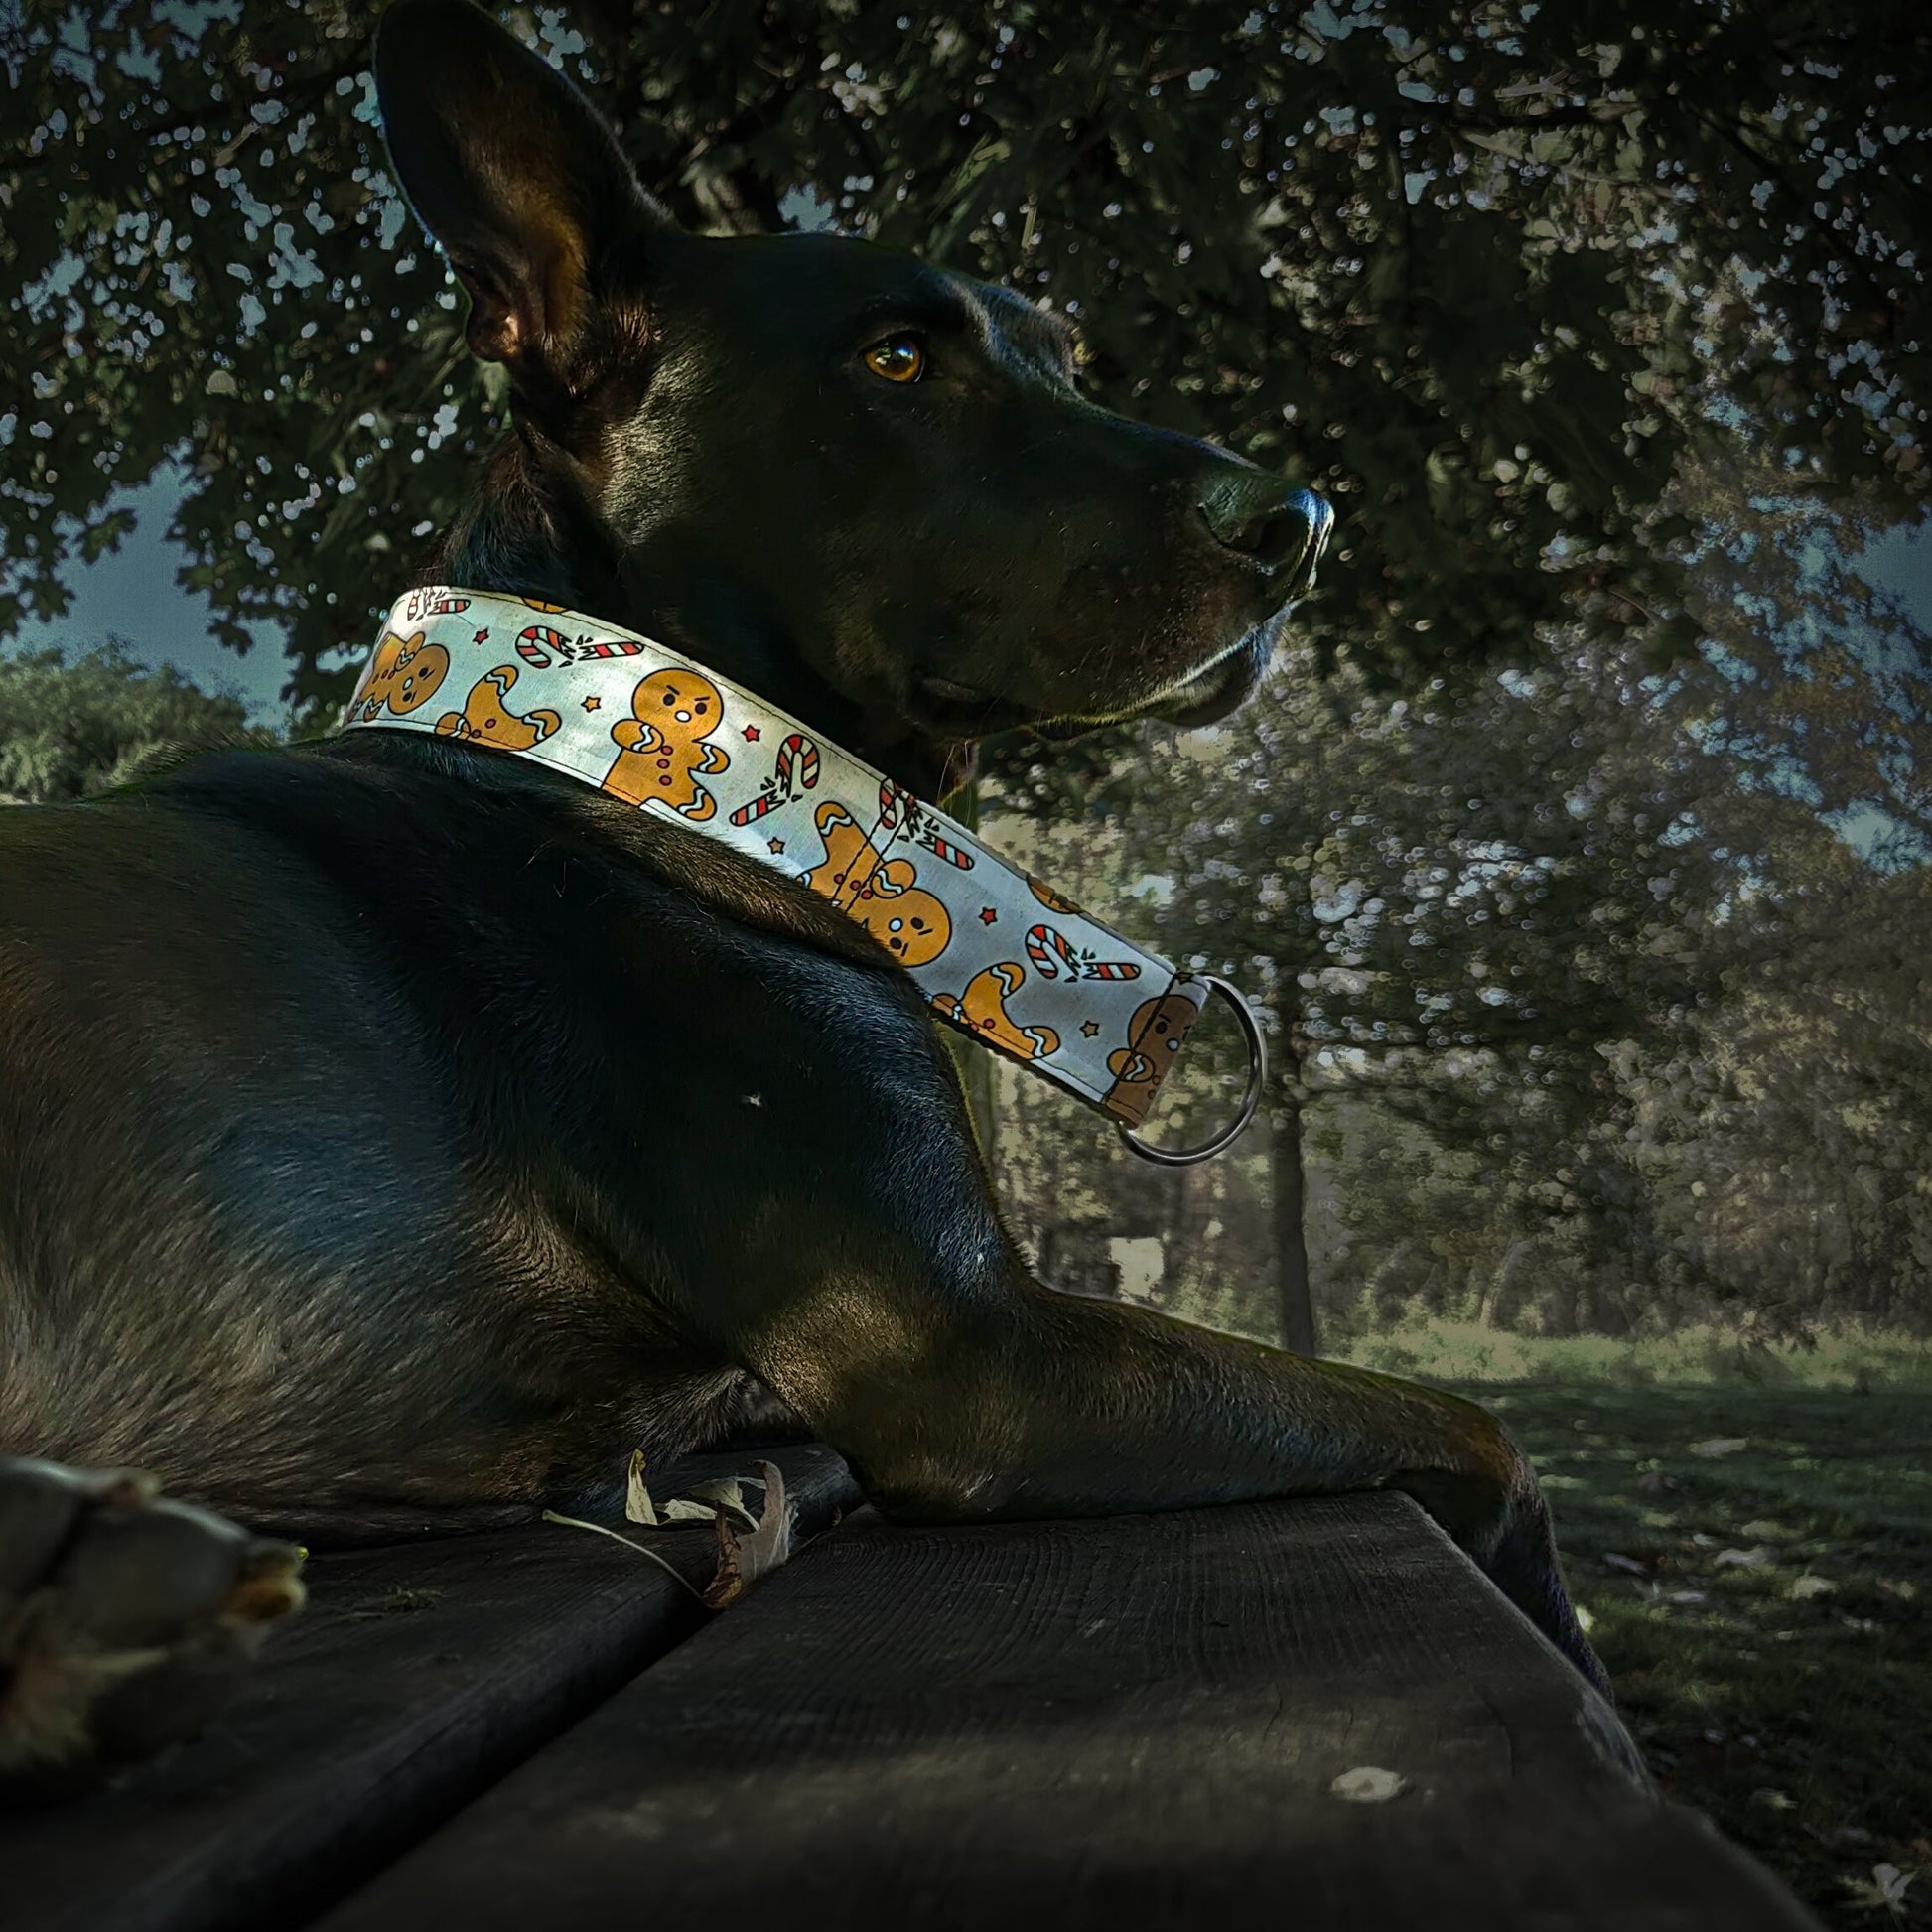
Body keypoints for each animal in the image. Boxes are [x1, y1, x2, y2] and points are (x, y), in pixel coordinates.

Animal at [0, 0, 1599, 1777]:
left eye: (1068, 357)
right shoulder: (969, 1348)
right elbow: (1480, 1436)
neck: (622, 752)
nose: (1303, 519)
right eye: (895, 359)